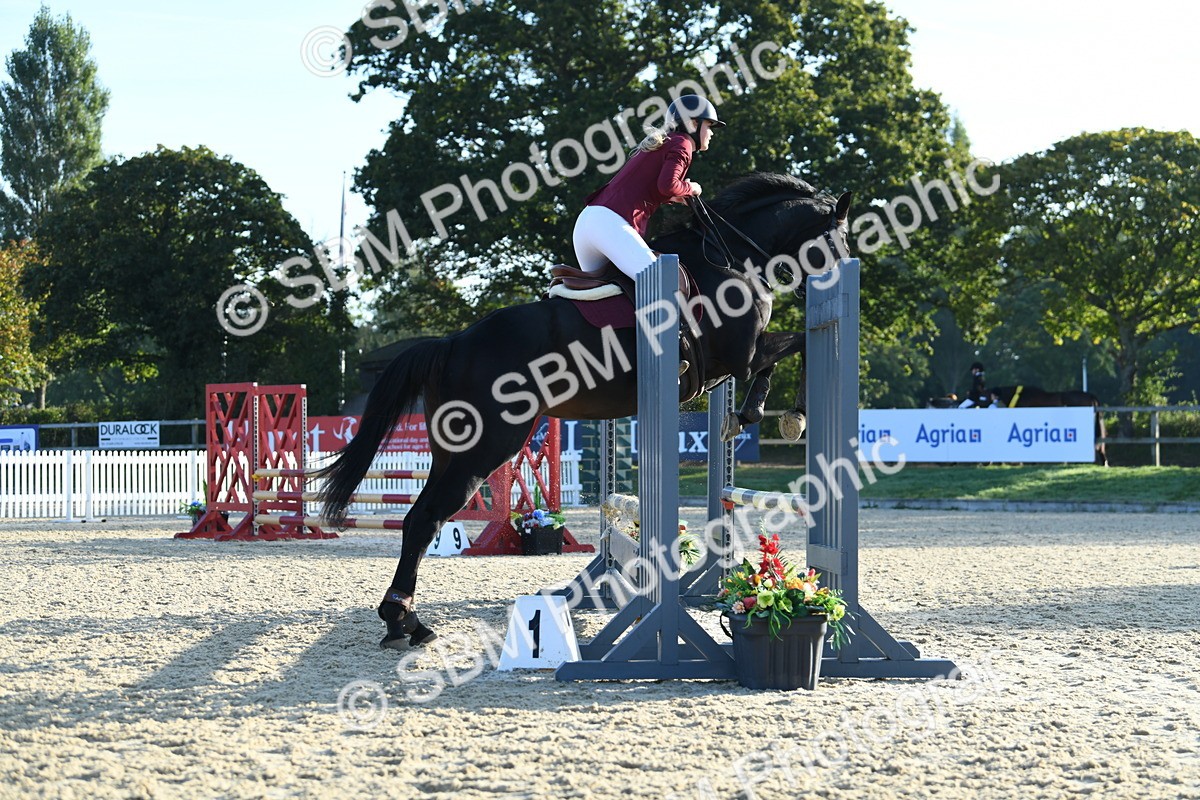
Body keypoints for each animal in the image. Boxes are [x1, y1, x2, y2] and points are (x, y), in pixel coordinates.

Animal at [316, 172, 852, 647]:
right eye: (840, 241)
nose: (832, 282)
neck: (729, 256)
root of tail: (452, 343)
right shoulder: (743, 354)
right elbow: (794, 349)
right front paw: (781, 415)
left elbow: (790, 351)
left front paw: (752, 415)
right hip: (487, 447)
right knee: (426, 519)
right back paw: (404, 622)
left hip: (452, 450)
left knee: (416, 520)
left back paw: (404, 621)